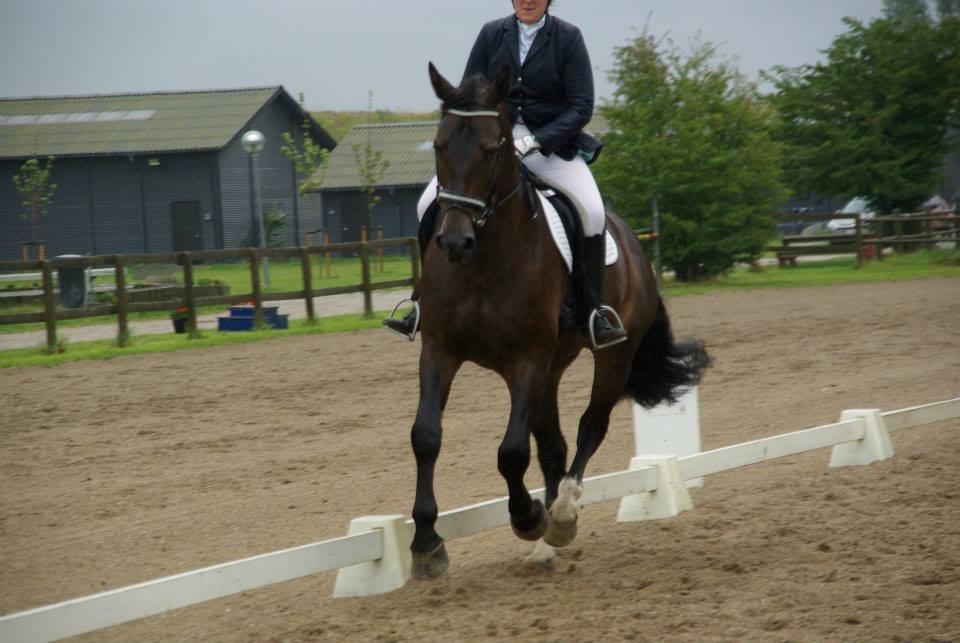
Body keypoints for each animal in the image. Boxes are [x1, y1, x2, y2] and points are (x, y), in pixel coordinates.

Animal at [408, 63, 708, 580]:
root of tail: (633, 242)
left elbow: (511, 451)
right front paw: (427, 543)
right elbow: (426, 436)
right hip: (551, 369)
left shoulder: (527, 359)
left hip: (609, 356)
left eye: (493, 149)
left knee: (591, 426)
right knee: (554, 445)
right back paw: (548, 541)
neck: (484, 260)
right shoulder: (441, 350)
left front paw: (528, 517)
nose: (454, 242)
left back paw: (562, 516)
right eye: (439, 145)